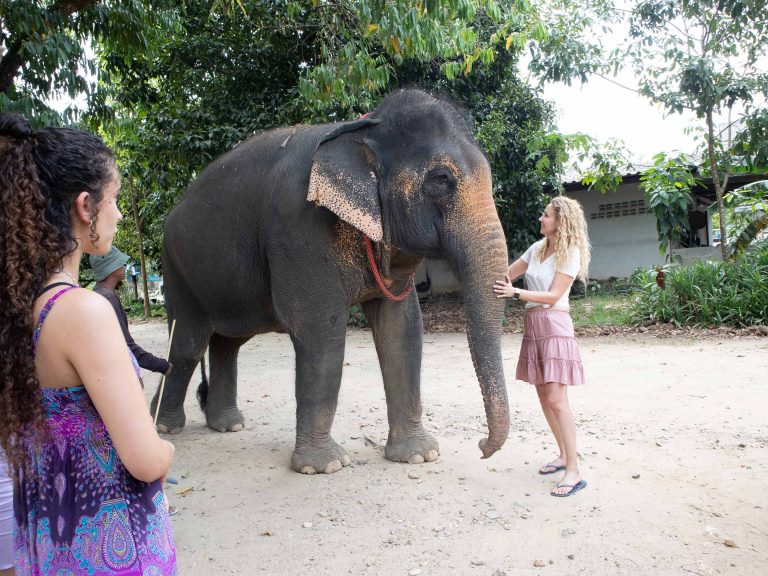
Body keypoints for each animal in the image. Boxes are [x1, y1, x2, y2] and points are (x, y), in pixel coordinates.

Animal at [155, 89, 510, 472]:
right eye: (442, 179)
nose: (481, 446)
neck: (362, 129)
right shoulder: (300, 228)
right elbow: (320, 329)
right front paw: (324, 466)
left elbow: (402, 327)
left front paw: (418, 455)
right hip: (176, 267)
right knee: (187, 344)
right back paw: (164, 428)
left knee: (227, 342)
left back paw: (228, 425)